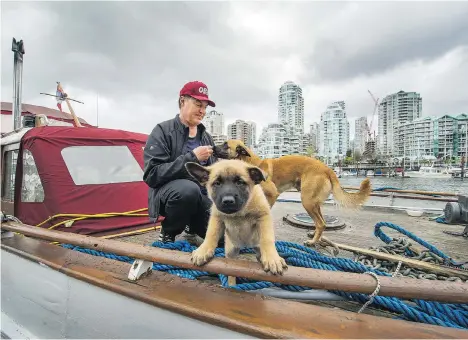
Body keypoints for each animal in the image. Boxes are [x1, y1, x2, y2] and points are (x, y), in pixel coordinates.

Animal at [213, 139, 372, 246]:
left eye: (226, 145)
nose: (212, 147)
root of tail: (328, 169)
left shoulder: (272, 194)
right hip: (313, 202)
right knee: (323, 222)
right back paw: (317, 237)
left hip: (307, 201)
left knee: (321, 223)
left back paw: (312, 242)